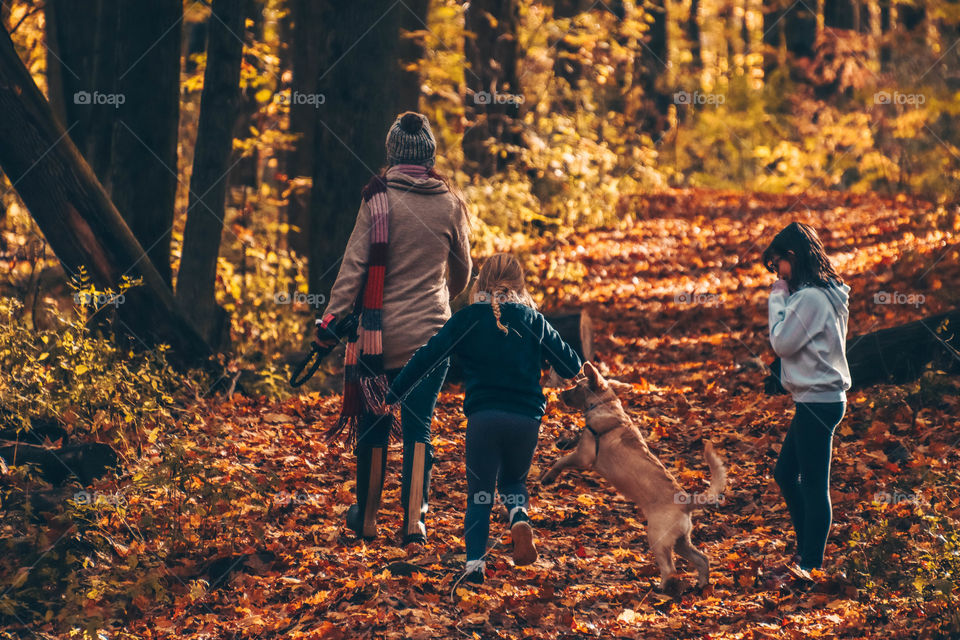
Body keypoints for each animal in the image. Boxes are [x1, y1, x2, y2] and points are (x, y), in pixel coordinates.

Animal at [540, 362, 728, 592]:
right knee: (702, 559)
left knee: (670, 569)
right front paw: (563, 442)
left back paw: (660, 588)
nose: (559, 394)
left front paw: (549, 476)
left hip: (657, 537)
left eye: (577, 386)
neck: (606, 405)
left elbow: (561, 461)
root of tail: (686, 502)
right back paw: (702, 584)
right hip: (681, 541)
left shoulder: (584, 456)